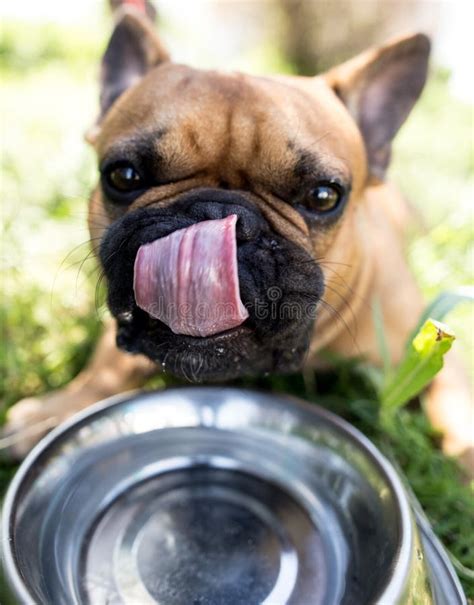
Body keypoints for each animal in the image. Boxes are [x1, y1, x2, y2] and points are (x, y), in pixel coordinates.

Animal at [2, 1, 470, 472]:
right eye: (123, 175)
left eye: (323, 196)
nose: (215, 214)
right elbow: (108, 366)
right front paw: (58, 409)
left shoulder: (434, 349)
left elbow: (457, 409)